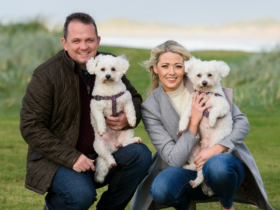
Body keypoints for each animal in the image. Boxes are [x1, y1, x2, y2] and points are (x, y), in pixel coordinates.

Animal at [86, 54, 142, 184]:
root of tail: (115, 145)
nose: (107, 76)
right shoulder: (96, 107)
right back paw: (111, 162)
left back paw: (136, 140)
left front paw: (132, 120)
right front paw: (101, 129)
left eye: (113, 69)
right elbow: (100, 119)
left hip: (127, 132)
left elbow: (131, 111)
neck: (109, 93)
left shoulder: (127, 100)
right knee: (108, 156)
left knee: (125, 142)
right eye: (102, 69)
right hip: (100, 146)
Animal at [178, 56, 233, 196]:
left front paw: (212, 121)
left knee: (201, 171)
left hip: (208, 154)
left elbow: (214, 111)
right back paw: (190, 174)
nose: (204, 82)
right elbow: (185, 115)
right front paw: (182, 126)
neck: (207, 93)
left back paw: (195, 181)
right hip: (193, 152)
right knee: (195, 167)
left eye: (210, 75)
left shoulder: (223, 107)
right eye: (198, 75)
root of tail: (204, 148)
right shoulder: (191, 106)